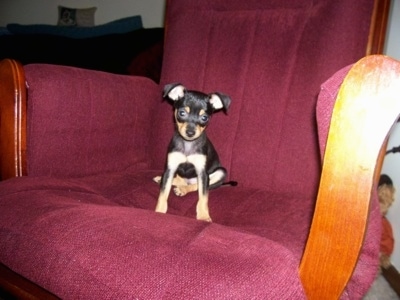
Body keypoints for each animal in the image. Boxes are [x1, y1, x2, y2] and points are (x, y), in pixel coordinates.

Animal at [155, 83, 233, 221]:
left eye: (204, 118)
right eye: (182, 113)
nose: (190, 132)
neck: (188, 144)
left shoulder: (202, 173)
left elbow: (203, 197)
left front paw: (203, 216)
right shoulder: (170, 168)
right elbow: (163, 193)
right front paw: (159, 211)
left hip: (220, 173)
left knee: (196, 186)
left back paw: (182, 189)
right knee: (179, 180)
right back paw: (163, 180)